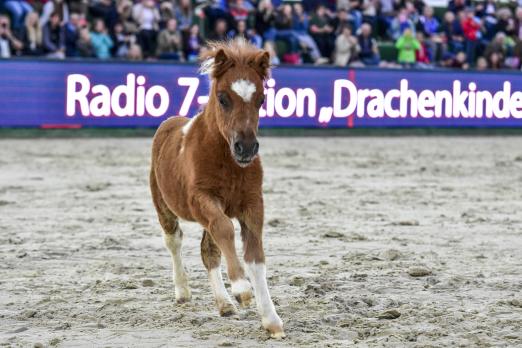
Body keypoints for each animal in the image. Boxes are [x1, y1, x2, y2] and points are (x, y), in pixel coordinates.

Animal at [148, 39, 282, 338]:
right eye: (223, 98)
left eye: (261, 99)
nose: (246, 148)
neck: (226, 159)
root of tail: (168, 123)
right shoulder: (202, 199)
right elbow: (225, 230)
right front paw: (242, 288)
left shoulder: (253, 203)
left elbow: (255, 256)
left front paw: (271, 320)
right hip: (163, 205)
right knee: (173, 240)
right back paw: (183, 291)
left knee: (209, 251)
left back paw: (225, 305)